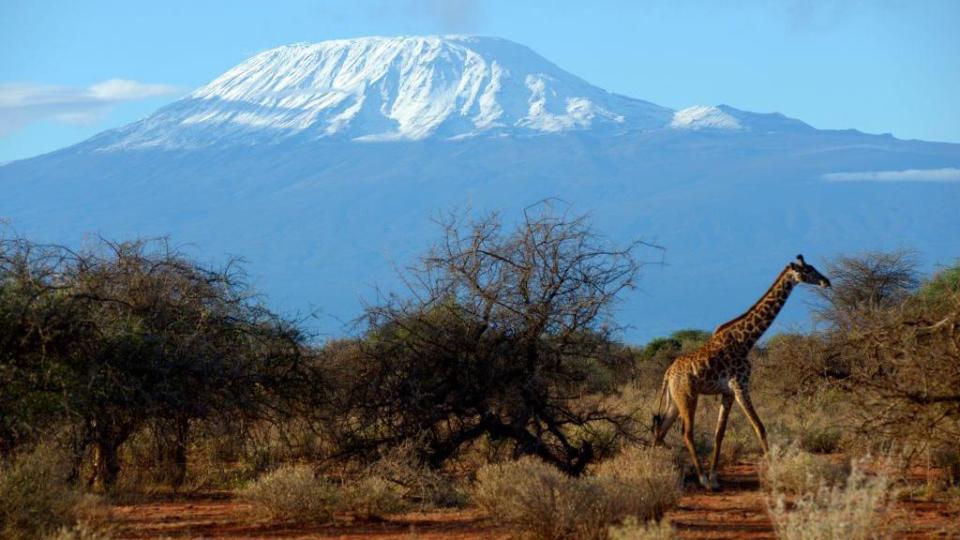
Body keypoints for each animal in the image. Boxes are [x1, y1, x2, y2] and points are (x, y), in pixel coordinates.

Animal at [652, 254, 832, 490]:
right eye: (808, 270)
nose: (826, 281)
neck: (746, 340)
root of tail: (668, 373)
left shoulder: (728, 392)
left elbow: (719, 434)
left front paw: (715, 478)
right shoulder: (740, 386)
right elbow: (760, 427)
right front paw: (774, 472)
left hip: (675, 400)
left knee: (660, 431)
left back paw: (661, 470)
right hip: (688, 396)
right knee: (686, 432)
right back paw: (700, 479)